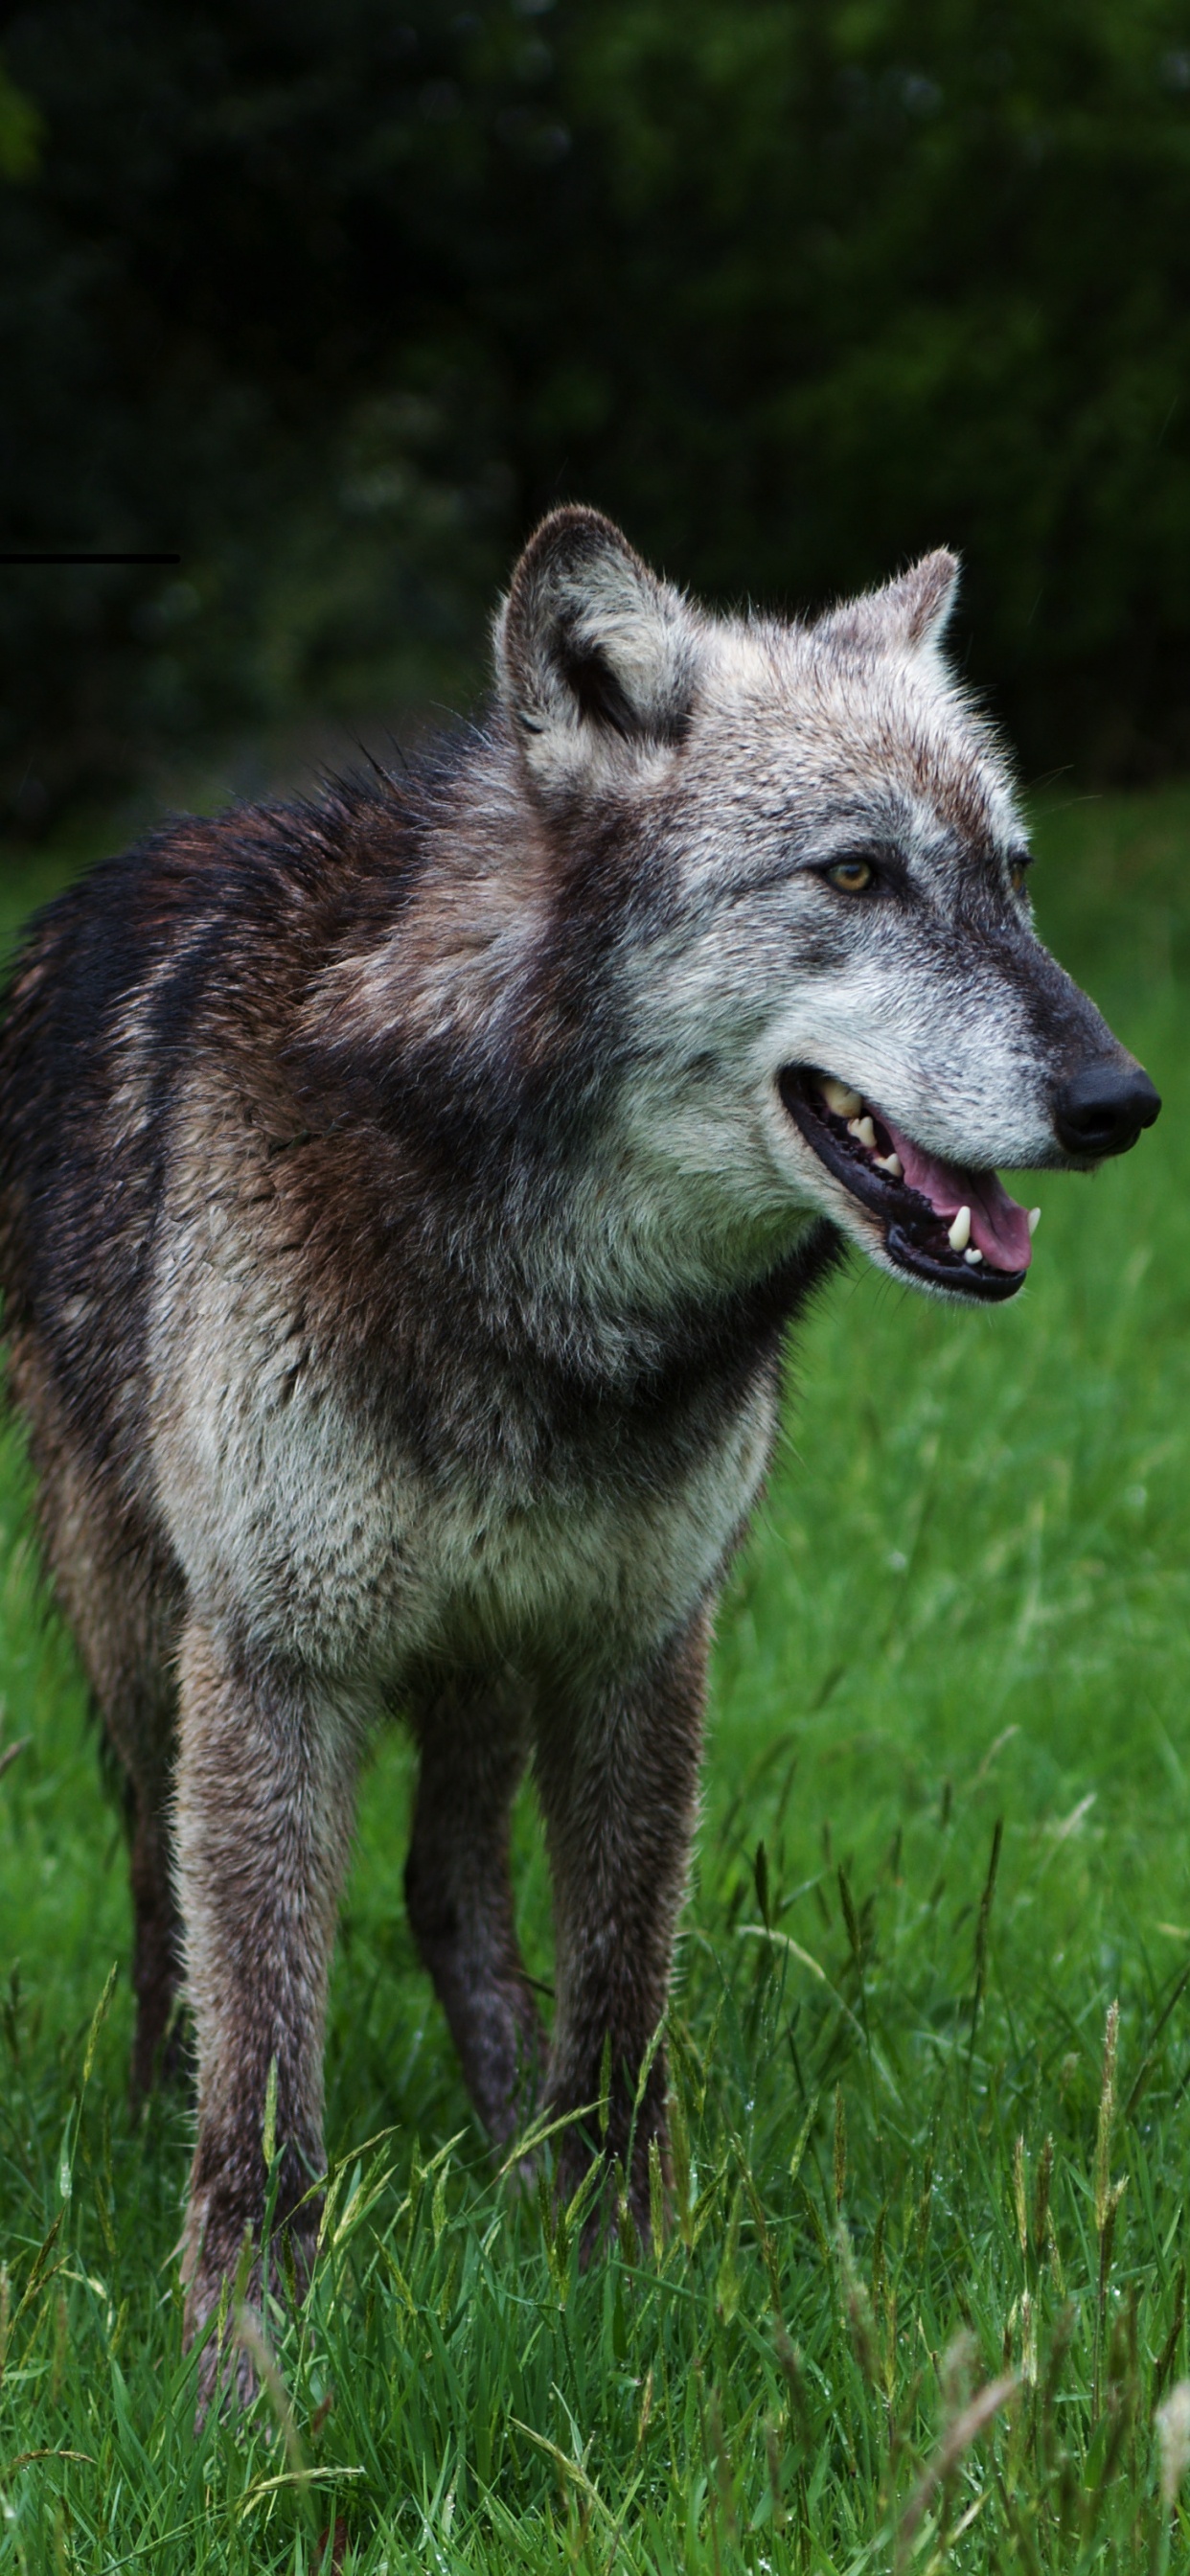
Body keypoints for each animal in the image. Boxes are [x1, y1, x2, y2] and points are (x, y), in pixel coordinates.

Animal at [0, 506, 1159, 2385]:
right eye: (854, 876)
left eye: (1012, 875)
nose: (1119, 1099)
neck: (544, 1304)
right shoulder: (276, 1660)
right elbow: (267, 2069)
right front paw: (243, 2369)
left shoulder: (634, 1643)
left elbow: (619, 2007)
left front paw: (607, 2273)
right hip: (136, 1636)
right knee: (170, 1924)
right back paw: (148, 2125)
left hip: (480, 1652)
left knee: (444, 1889)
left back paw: (504, 2144)